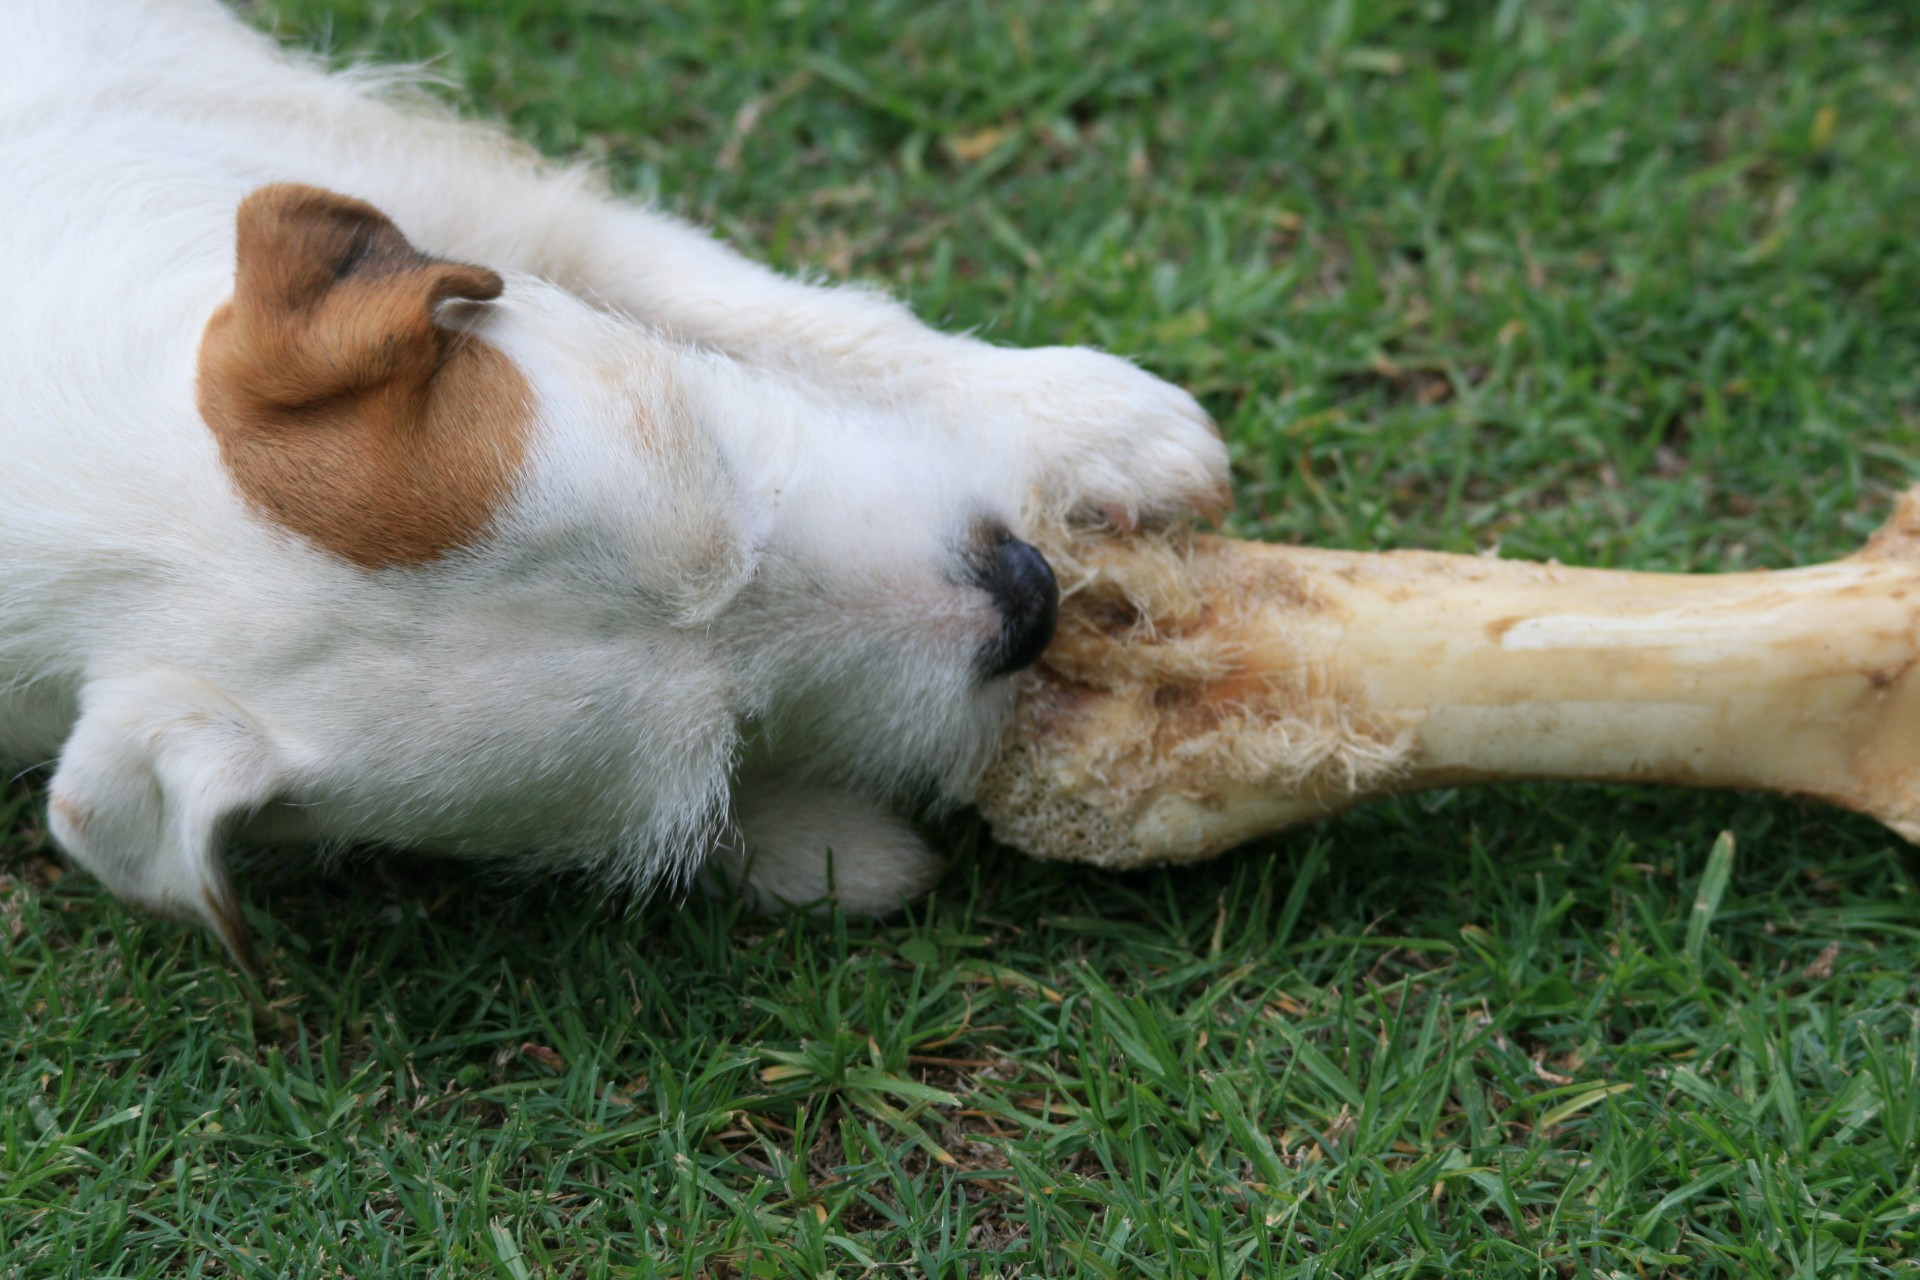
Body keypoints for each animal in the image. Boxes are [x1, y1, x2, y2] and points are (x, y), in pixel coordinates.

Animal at [0, 0, 1228, 967]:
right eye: (718, 750)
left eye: (714, 449)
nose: (1031, 598)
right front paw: (816, 844)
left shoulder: (480, 201)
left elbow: (751, 302)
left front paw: (1084, 418)